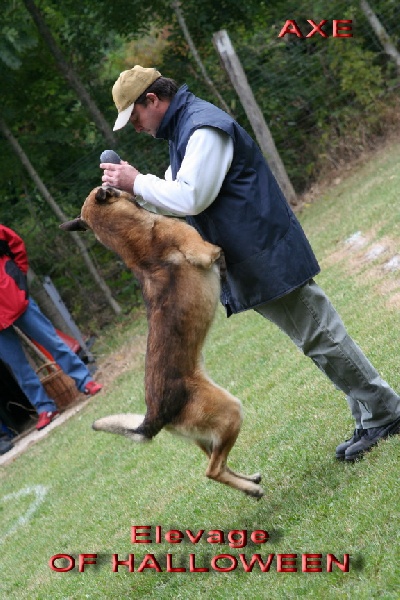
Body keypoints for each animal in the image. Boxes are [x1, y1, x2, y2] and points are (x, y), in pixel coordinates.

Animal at [61, 188, 264, 496]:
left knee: (217, 463)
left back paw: (249, 482)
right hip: (230, 411)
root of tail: (154, 416)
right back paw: (252, 489)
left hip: (208, 435)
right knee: (212, 470)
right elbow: (218, 252)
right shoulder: (203, 251)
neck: (135, 241)